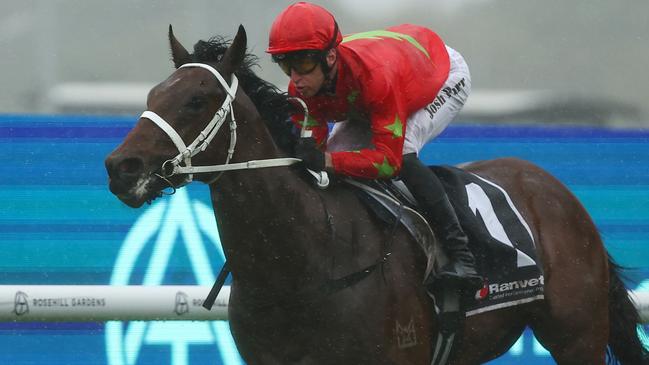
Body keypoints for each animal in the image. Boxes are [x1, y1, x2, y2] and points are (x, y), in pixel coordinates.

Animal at [104, 24, 644, 362]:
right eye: (153, 96)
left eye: (196, 100)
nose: (119, 167)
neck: (304, 264)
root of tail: (556, 190)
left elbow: (390, 152)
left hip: (577, 336)